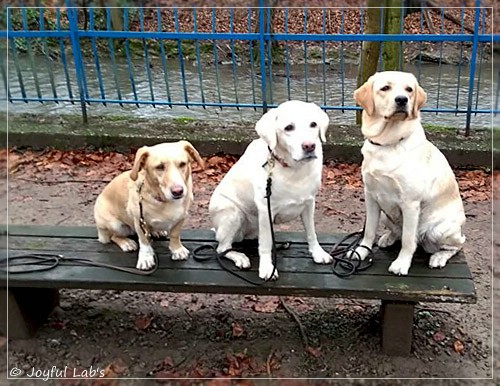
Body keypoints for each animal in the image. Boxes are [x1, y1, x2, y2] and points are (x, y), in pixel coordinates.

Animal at [93, 140, 204, 270]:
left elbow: (175, 235)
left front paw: (177, 250)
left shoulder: (181, 218)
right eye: (160, 167)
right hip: (115, 224)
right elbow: (144, 242)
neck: (165, 201)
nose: (178, 191)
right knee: (113, 237)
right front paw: (146, 258)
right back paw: (126, 243)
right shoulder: (139, 221)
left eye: (182, 164)